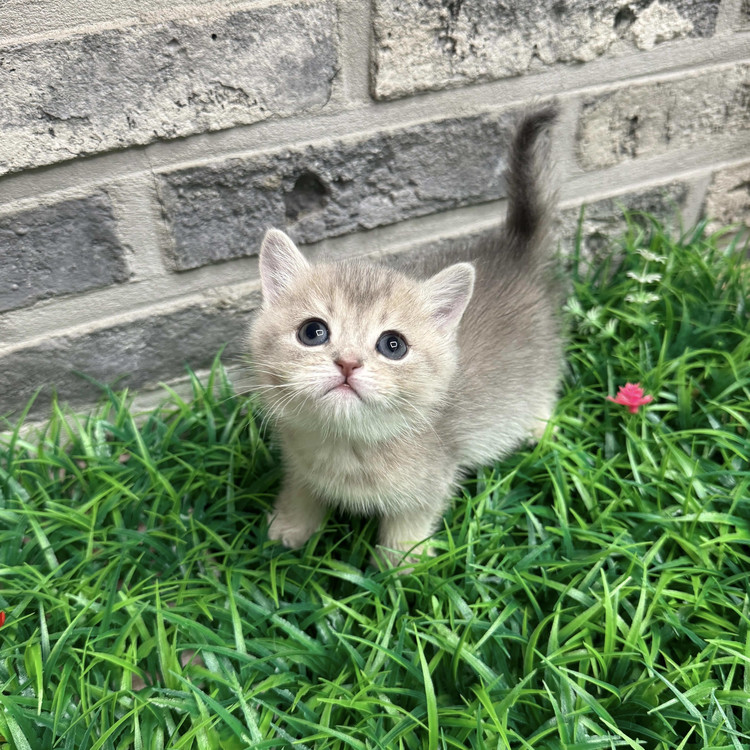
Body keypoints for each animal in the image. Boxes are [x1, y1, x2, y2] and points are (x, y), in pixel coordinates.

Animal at [247, 105, 562, 565]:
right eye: (312, 332)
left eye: (392, 345)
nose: (347, 363)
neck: (347, 448)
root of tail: (512, 253)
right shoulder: (298, 463)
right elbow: (301, 491)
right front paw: (289, 527)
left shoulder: (432, 482)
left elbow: (408, 525)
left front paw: (401, 565)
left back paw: (541, 432)